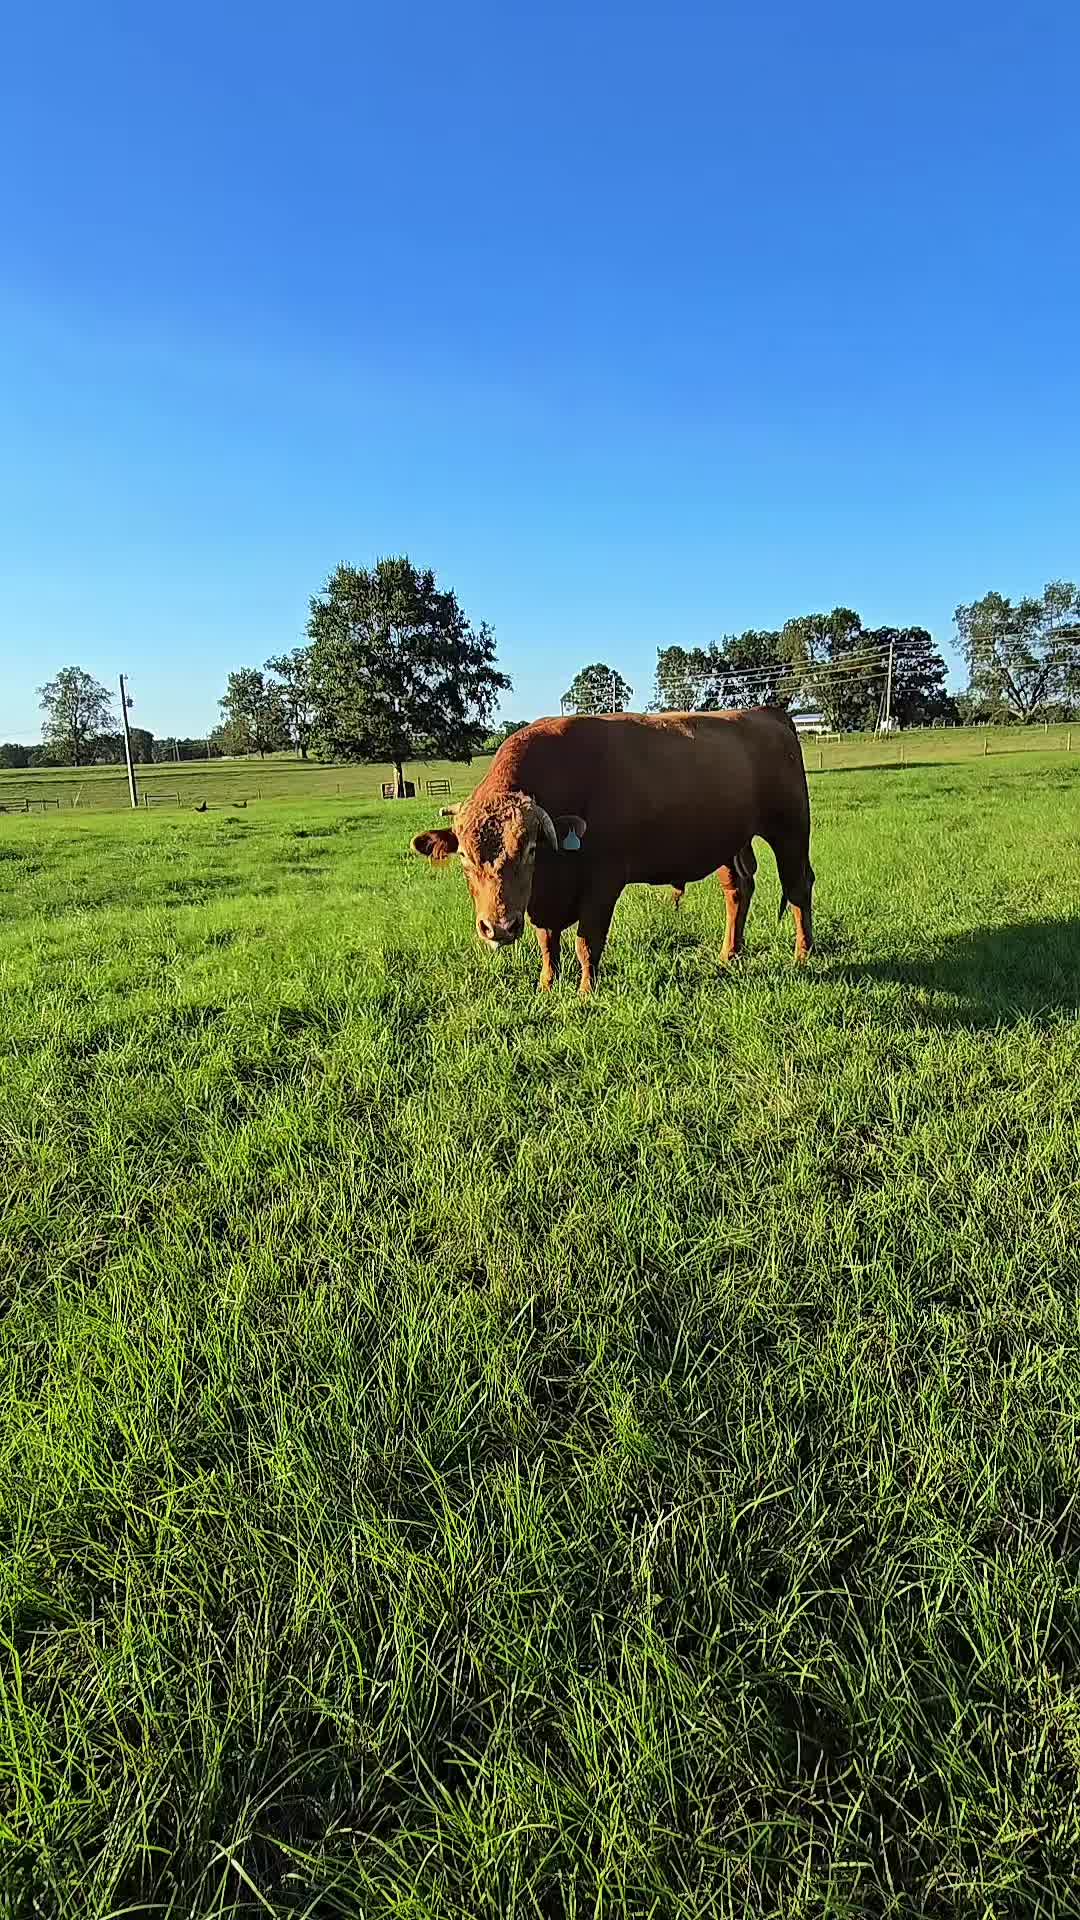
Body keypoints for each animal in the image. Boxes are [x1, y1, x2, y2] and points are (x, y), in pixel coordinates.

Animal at [410, 709, 814, 994]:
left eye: (528, 849)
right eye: (464, 858)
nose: (498, 927)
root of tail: (766, 713)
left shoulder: (603, 884)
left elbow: (586, 943)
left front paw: (586, 992)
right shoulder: (543, 902)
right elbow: (548, 943)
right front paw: (546, 986)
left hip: (790, 831)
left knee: (798, 887)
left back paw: (803, 954)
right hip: (730, 844)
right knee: (738, 890)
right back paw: (729, 954)